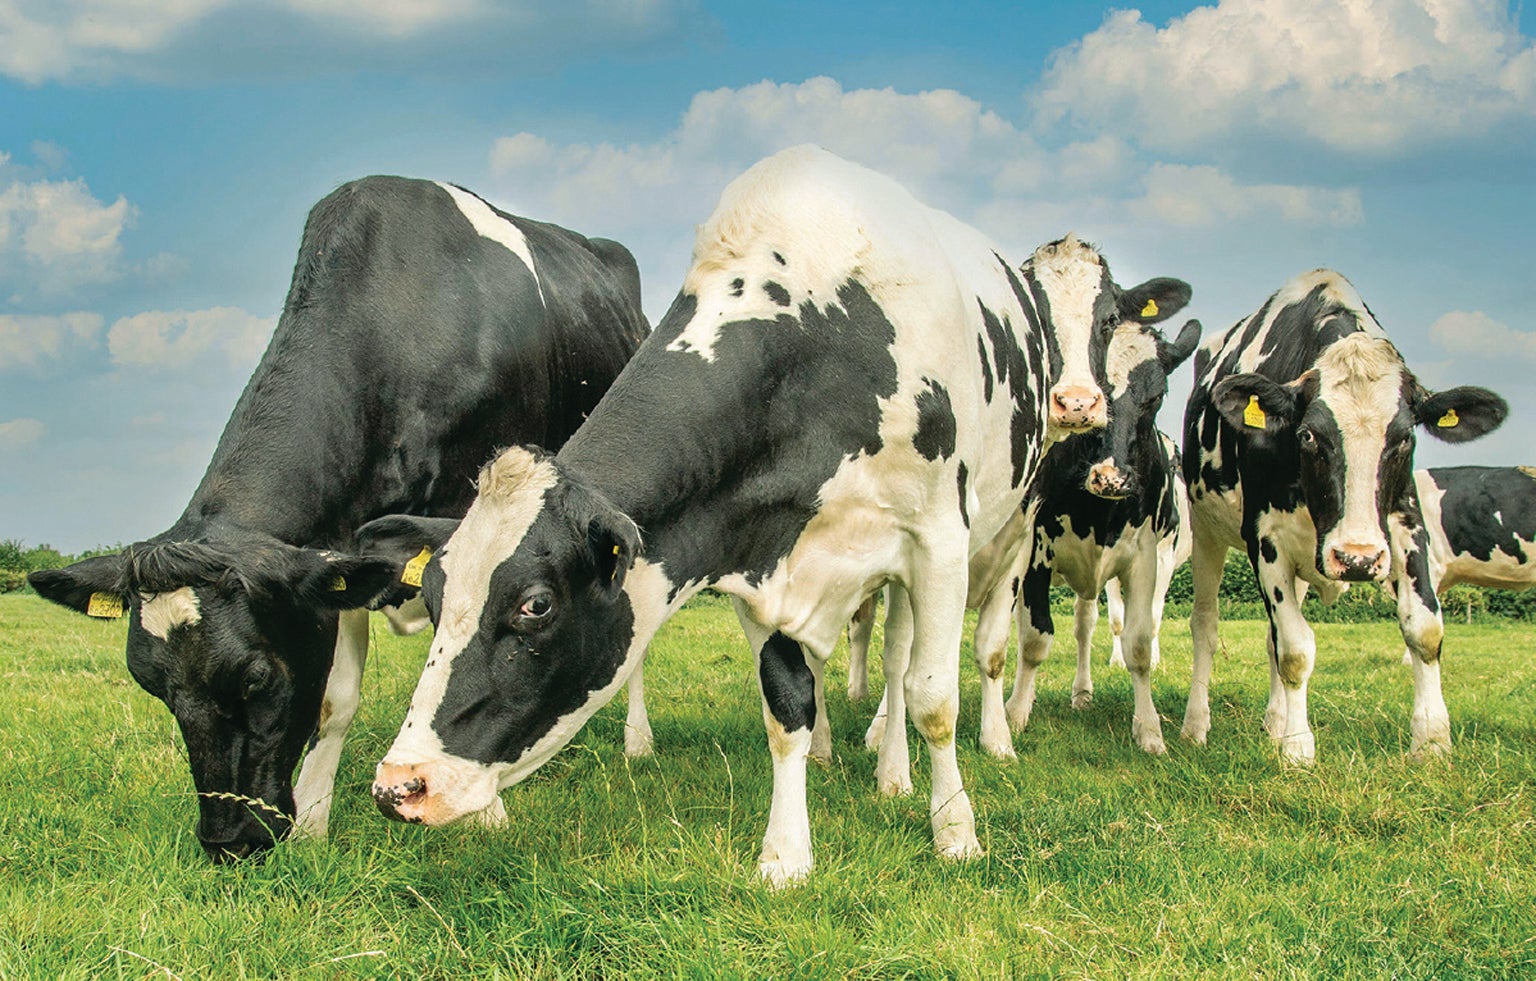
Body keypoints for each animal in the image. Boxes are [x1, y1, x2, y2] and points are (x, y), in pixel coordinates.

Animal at [27, 176, 645, 859]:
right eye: (150, 684)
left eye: (256, 678)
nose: (230, 841)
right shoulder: (340, 555)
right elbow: (335, 700)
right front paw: (313, 822)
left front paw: (486, 811)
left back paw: (635, 742)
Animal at [359, 147, 1142, 890]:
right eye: (434, 599)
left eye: (536, 604)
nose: (400, 785)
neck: (826, 344)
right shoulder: (752, 549)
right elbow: (787, 706)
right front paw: (788, 853)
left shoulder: (937, 541)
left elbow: (933, 698)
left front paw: (955, 831)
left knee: (907, 668)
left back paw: (905, 769)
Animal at [1179, 270, 1505, 767]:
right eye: (1309, 435)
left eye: (1405, 437)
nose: (1357, 559)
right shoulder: (1265, 539)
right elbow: (1296, 648)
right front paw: (1298, 748)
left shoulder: (1405, 523)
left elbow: (1425, 629)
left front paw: (1432, 741)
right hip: (1207, 532)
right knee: (1206, 627)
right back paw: (1196, 726)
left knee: (1271, 637)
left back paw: (1275, 722)